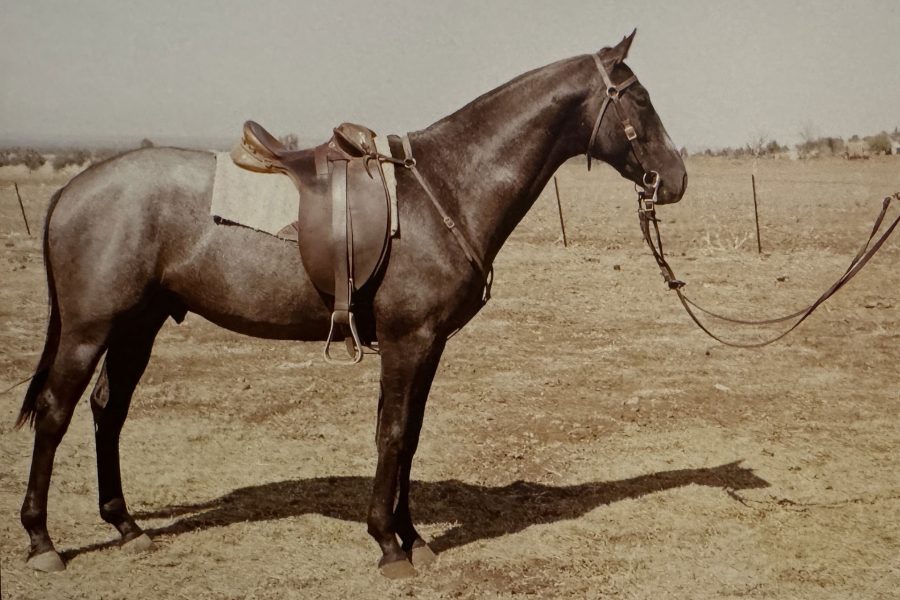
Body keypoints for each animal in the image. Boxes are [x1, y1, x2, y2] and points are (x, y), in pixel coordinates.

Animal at [15, 31, 687, 578]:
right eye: (639, 99)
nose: (677, 179)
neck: (445, 188)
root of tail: (73, 188)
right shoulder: (408, 340)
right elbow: (393, 433)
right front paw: (388, 545)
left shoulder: (427, 345)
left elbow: (410, 433)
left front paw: (414, 538)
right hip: (89, 329)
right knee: (55, 413)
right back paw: (43, 541)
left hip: (138, 325)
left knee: (108, 409)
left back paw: (126, 526)